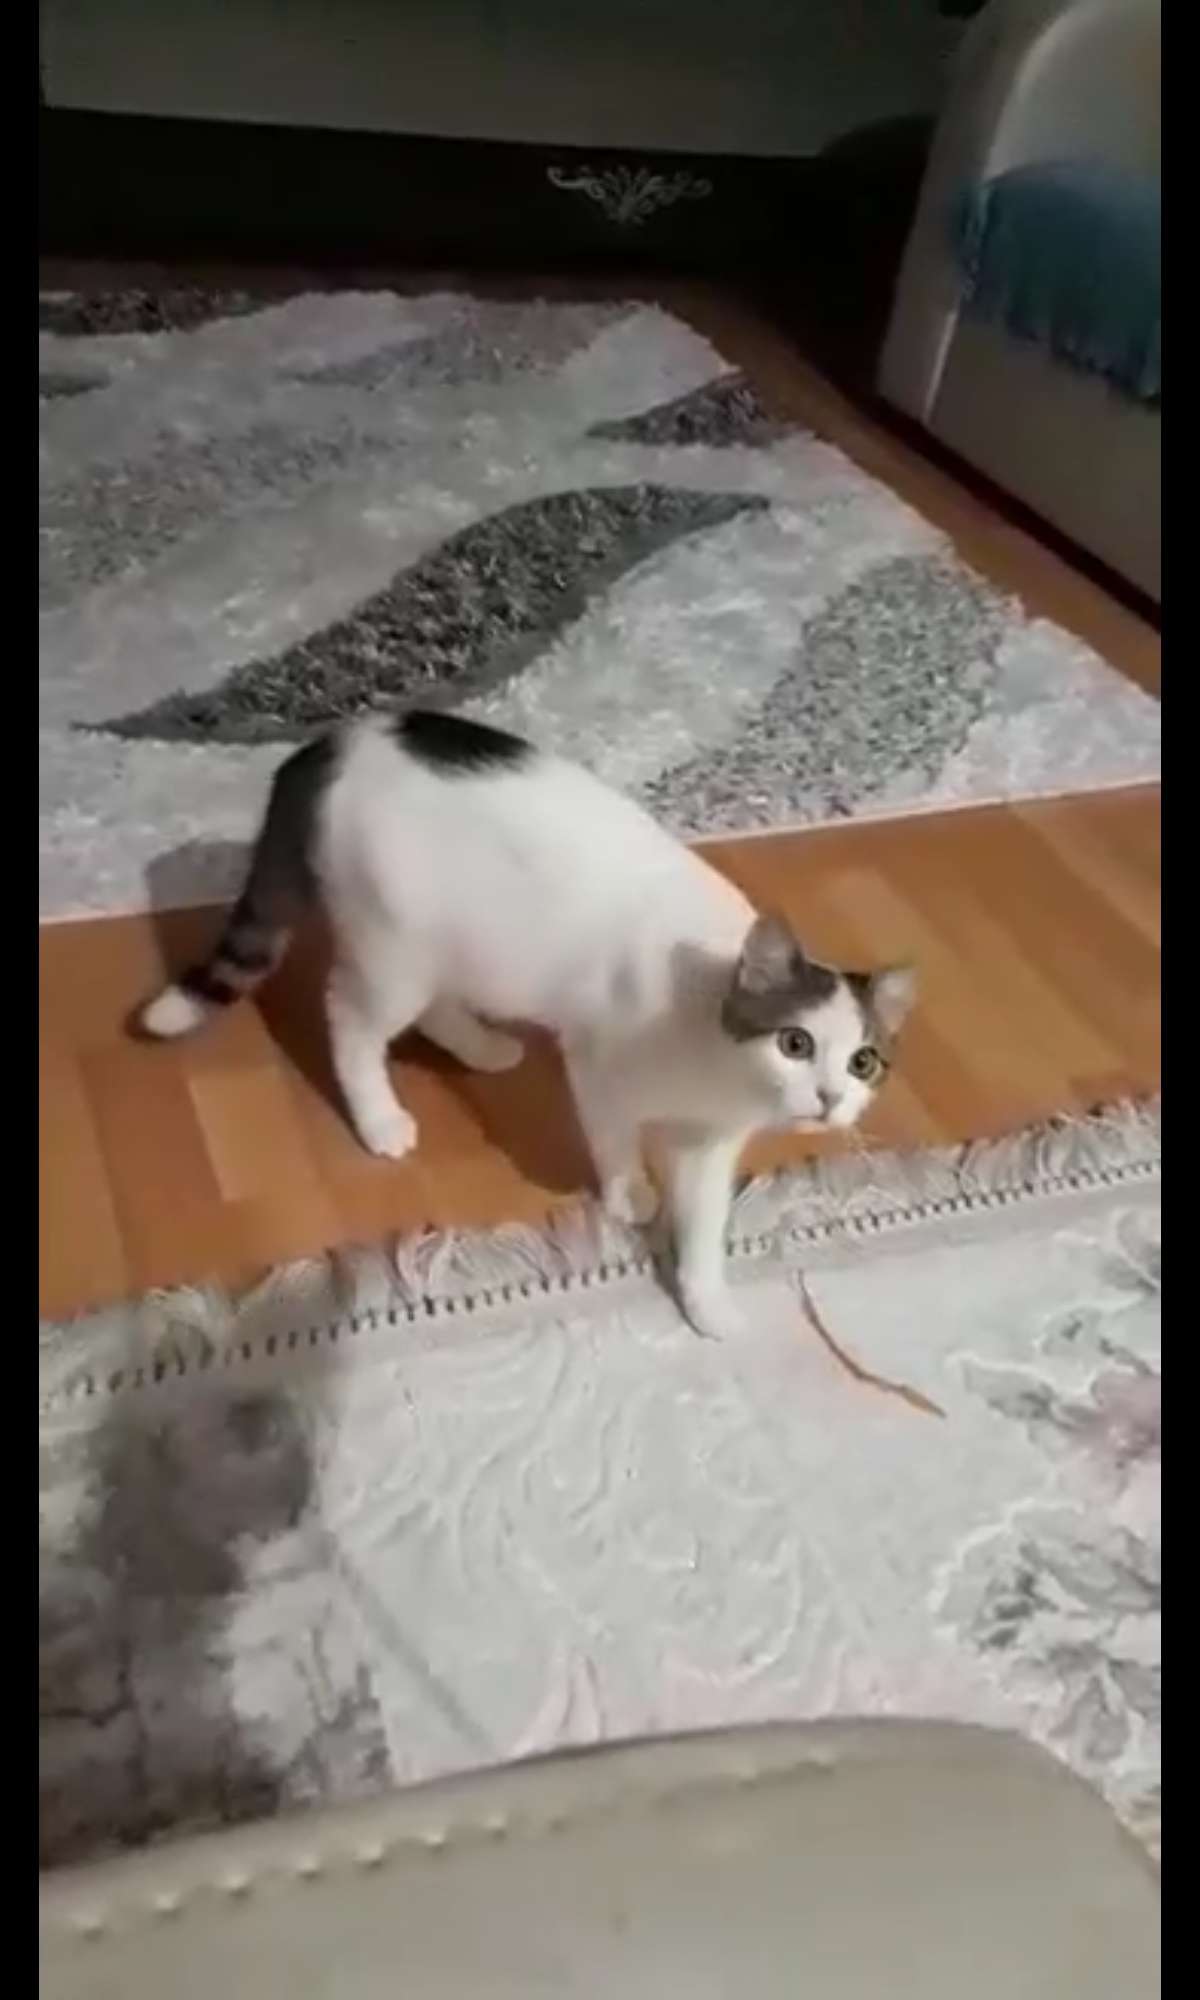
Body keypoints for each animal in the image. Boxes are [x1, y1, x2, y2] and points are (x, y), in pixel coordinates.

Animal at [140, 711, 914, 1338]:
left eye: (863, 1063)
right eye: (795, 1042)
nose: (830, 1099)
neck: (712, 1058)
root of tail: (337, 738)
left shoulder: (710, 1144)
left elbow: (702, 1226)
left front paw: (705, 1302)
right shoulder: (598, 1064)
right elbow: (613, 1142)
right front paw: (629, 1196)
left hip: (466, 948)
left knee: (437, 1006)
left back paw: (483, 1047)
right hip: (396, 951)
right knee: (350, 1018)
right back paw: (381, 1118)